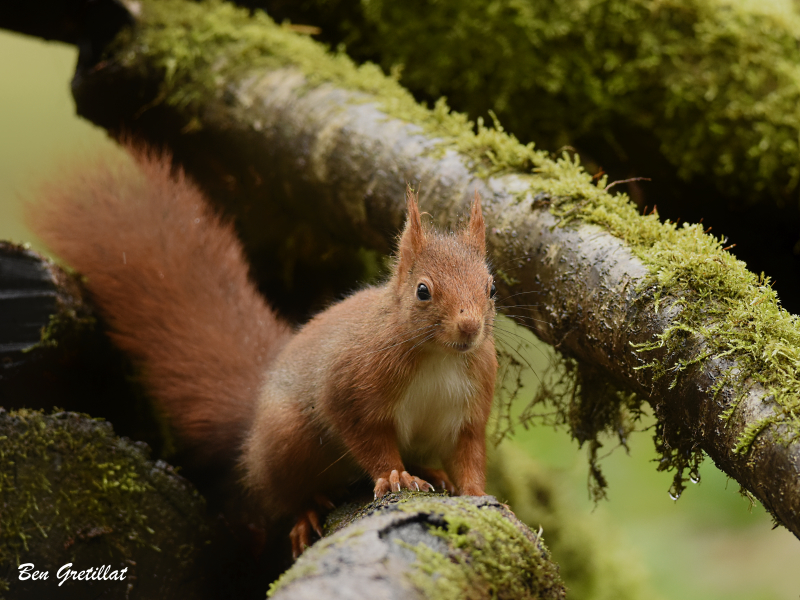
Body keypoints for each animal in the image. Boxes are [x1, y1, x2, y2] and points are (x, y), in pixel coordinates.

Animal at [32, 146, 500, 556]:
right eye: (423, 291)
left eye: (491, 288)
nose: (469, 326)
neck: (440, 355)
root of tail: (256, 412)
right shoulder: (351, 384)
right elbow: (365, 435)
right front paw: (394, 474)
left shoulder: (470, 406)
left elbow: (469, 451)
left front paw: (477, 492)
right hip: (287, 436)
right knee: (280, 492)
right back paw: (306, 511)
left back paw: (430, 471)